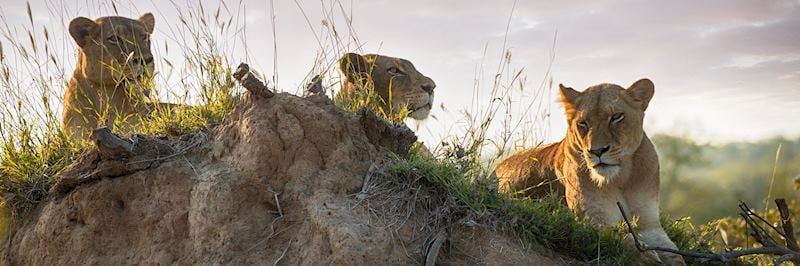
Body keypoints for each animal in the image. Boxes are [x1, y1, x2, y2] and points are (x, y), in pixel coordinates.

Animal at [496, 78, 684, 264]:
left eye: (616, 117)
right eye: (583, 123)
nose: (597, 151)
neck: (620, 178)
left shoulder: (650, 225)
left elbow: (676, 254)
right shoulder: (591, 218)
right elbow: (622, 238)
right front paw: (648, 257)